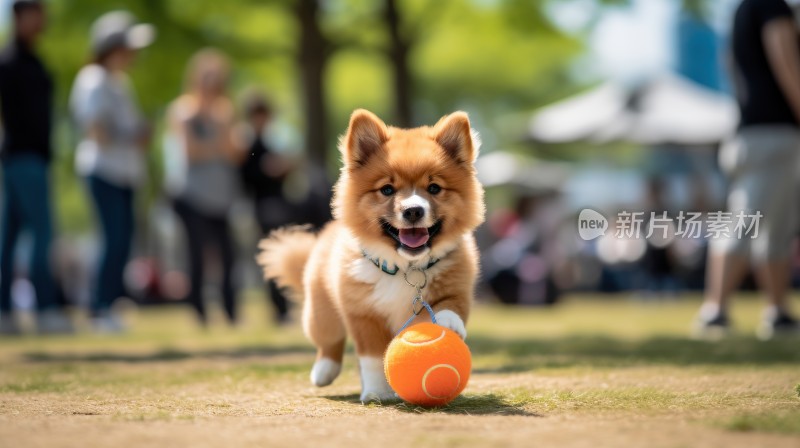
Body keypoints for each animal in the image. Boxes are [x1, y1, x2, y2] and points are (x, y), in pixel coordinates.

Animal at [260, 108, 484, 402]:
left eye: (434, 188)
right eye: (387, 189)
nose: (413, 210)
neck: (406, 267)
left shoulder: (458, 286)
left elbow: (450, 305)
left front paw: (446, 322)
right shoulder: (363, 315)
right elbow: (373, 358)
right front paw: (378, 392)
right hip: (321, 315)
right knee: (329, 341)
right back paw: (323, 371)